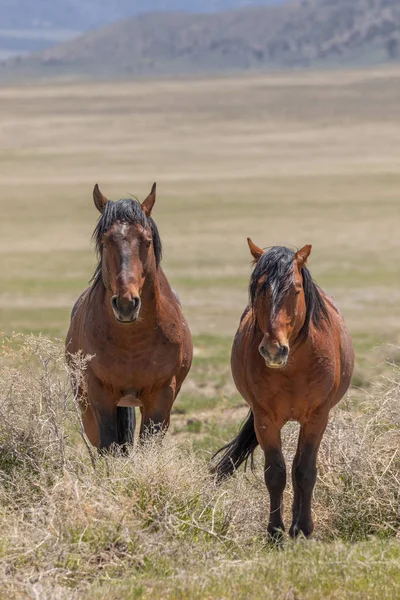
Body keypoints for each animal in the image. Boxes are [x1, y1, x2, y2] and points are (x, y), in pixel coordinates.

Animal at [66, 185, 194, 452]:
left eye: (146, 241)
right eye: (105, 241)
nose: (126, 304)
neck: (133, 342)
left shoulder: (161, 396)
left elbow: (147, 446)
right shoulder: (100, 395)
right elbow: (109, 446)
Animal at [212, 239, 354, 540]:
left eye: (296, 289)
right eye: (259, 288)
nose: (274, 350)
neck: (292, 367)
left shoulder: (317, 418)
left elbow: (305, 471)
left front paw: (303, 529)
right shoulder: (265, 420)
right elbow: (275, 473)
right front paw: (275, 532)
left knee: (301, 464)